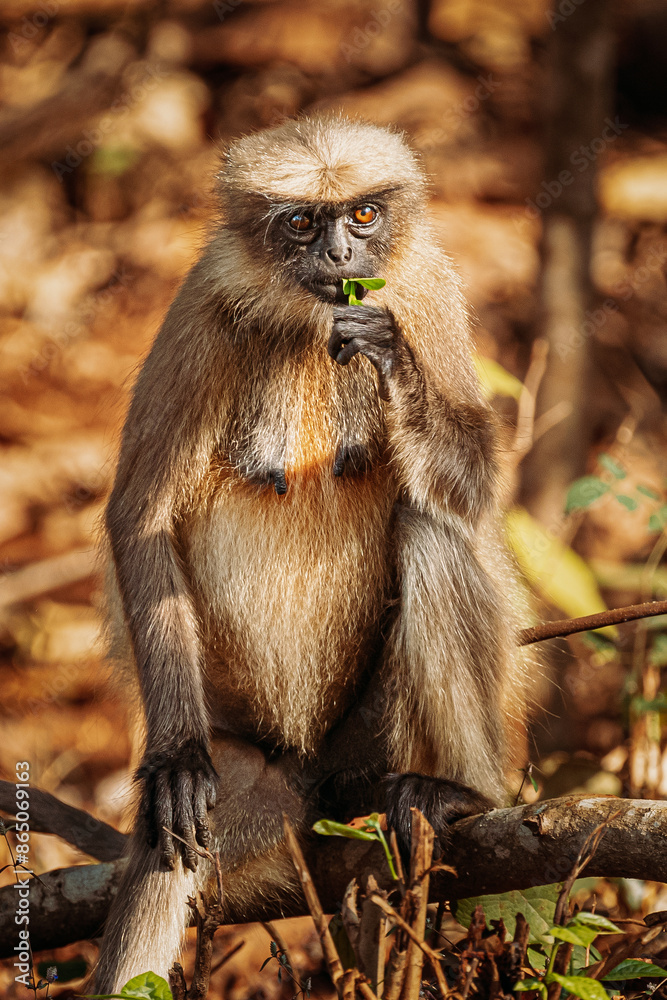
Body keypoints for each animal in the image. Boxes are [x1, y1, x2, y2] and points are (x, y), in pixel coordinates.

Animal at [93, 114, 530, 991]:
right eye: (301, 223)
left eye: (361, 216)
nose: (337, 258)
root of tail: (310, 770)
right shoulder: (199, 307)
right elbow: (139, 514)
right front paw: (176, 758)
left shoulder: (424, 289)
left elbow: (468, 489)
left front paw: (390, 361)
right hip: (254, 770)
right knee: (171, 847)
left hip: (374, 740)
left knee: (431, 528)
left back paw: (458, 792)